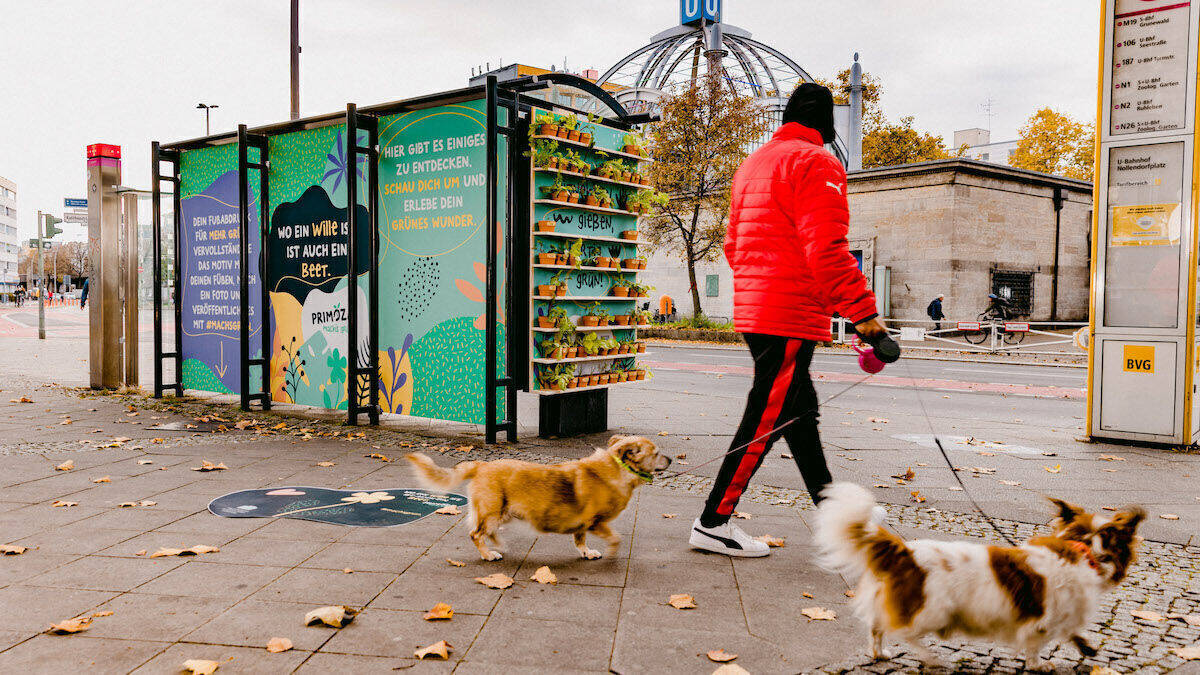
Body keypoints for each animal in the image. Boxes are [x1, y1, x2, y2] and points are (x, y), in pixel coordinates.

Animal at [403, 432, 667, 559]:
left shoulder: (583, 526)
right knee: (476, 534)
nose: (672, 460)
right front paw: (611, 552)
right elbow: (615, 538)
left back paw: (498, 546)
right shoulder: (596, 522)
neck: (617, 467)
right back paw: (488, 554)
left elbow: (579, 541)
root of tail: (481, 465)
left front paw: (586, 553)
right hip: (492, 511)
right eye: (656, 453)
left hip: (503, 513)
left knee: (488, 532)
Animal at [816, 480, 1142, 662]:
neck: (1080, 548)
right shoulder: (1041, 620)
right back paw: (931, 659)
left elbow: (1071, 632)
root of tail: (904, 552)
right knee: (904, 633)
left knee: (877, 626)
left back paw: (879, 653)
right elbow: (1037, 646)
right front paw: (1040, 664)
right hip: (933, 612)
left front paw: (1086, 648)